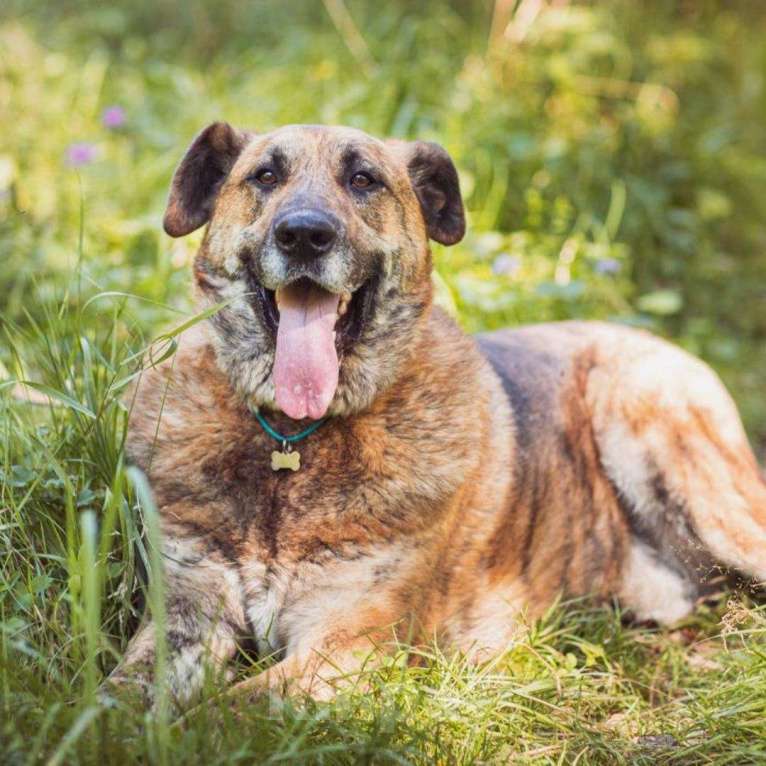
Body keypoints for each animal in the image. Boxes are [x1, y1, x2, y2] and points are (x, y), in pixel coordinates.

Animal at [114, 121, 766, 708]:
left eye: (363, 179)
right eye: (265, 176)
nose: (303, 235)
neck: (292, 442)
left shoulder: (344, 644)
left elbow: (226, 712)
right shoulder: (186, 610)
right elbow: (120, 697)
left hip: (665, 444)